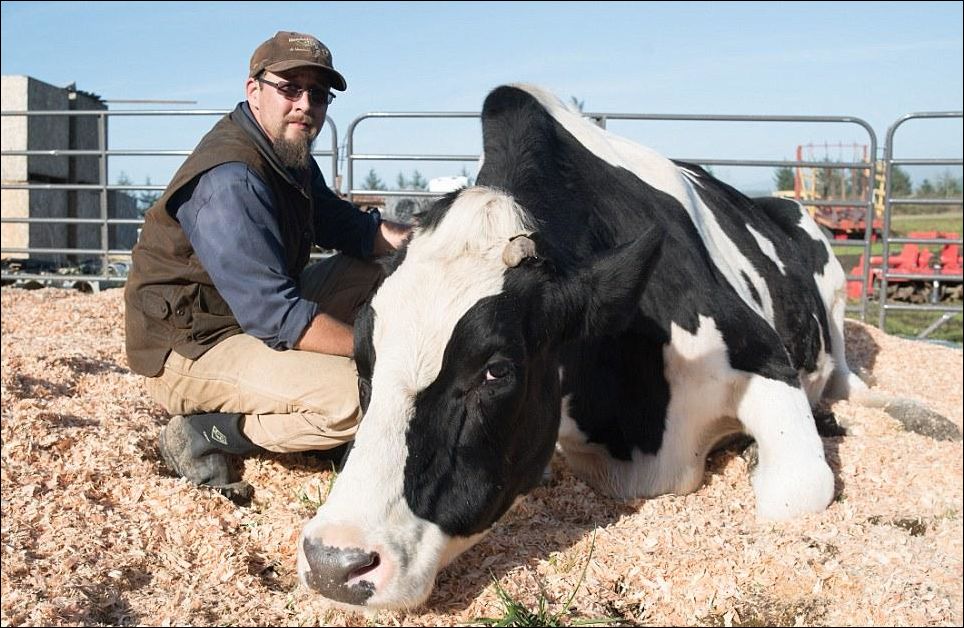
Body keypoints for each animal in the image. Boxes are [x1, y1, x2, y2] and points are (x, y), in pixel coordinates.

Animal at [296, 83, 870, 610]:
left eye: (496, 370)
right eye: (362, 363)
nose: (334, 562)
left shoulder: (765, 356)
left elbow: (794, 493)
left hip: (835, 290)